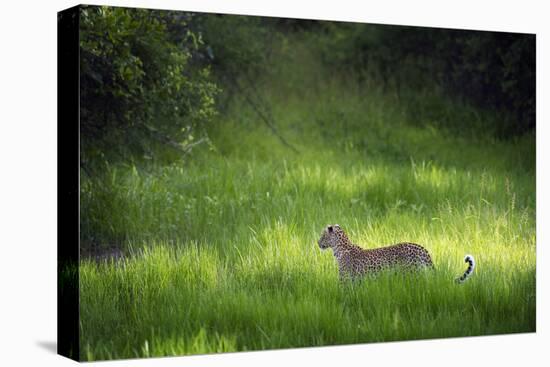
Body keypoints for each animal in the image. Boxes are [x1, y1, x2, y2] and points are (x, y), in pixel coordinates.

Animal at [320, 224, 474, 282]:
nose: (317, 242)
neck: (339, 247)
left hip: (411, 273)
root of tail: (421, 248)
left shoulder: (345, 280)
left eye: (322, 236)